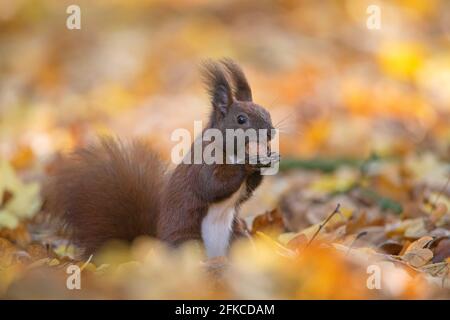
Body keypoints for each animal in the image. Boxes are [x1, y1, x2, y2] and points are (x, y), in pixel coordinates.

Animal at [45, 59, 278, 258]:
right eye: (241, 119)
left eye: (267, 111)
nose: (271, 132)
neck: (230, 150)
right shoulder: (203, 165)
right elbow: (213, 185)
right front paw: (249, 163)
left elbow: (245, 193)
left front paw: (268, 160)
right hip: (188, 242)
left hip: (238, 238)